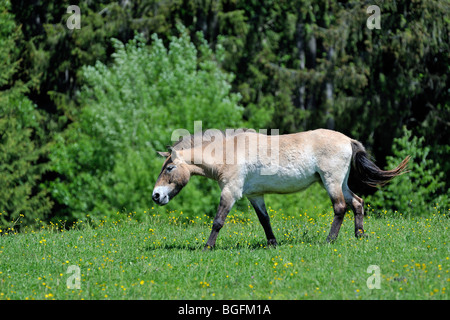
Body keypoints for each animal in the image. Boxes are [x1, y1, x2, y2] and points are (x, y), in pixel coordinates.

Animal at [153, 129, 410, 249]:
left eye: (170, 168)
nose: (156, 195)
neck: (228, 153)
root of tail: (348, 140)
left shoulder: (231, 192)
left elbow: (218, 221)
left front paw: (207, 247)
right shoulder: (255, 196)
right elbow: (264, 220)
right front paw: (273, 244)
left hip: (331, 182)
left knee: (340, 207)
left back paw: (329, 240)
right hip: (341, 182)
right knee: (357, 202)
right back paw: (359, 235)